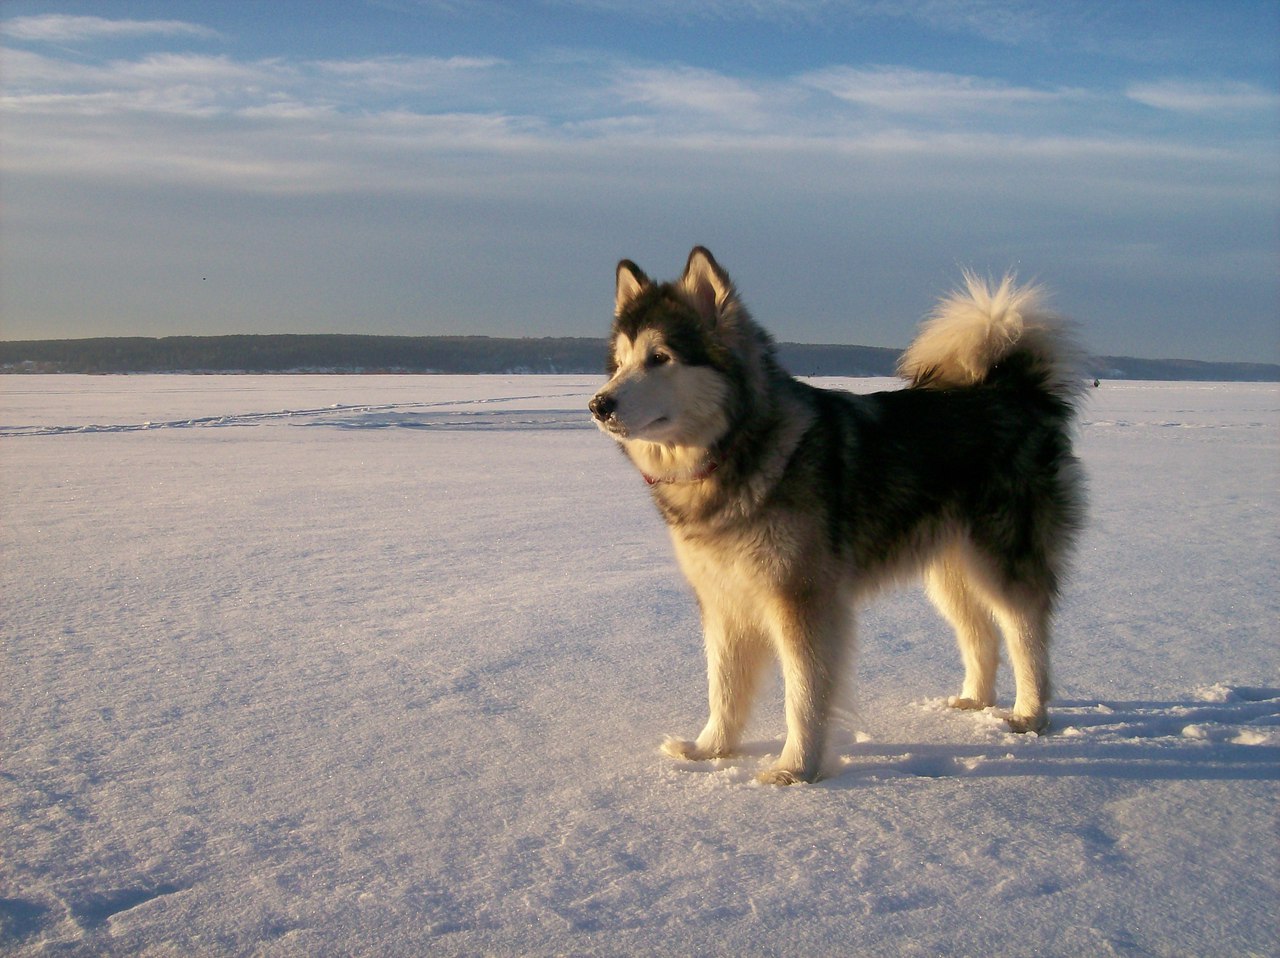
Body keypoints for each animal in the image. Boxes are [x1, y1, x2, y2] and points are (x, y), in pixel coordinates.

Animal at [586, 248, 1080, 783]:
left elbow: (803, 693)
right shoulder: (724, 598)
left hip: (1001, 557)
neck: (736, 450)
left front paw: (794, 770)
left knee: (1025, 631)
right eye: (619, 364)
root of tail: (1013, 390)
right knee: (980, 632)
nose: (597, 403)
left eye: (659, 358)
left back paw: (1030, 715)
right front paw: (710, 749)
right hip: (948, 567)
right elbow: (724, 687)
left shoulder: (802, 596)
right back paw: (974, 701)